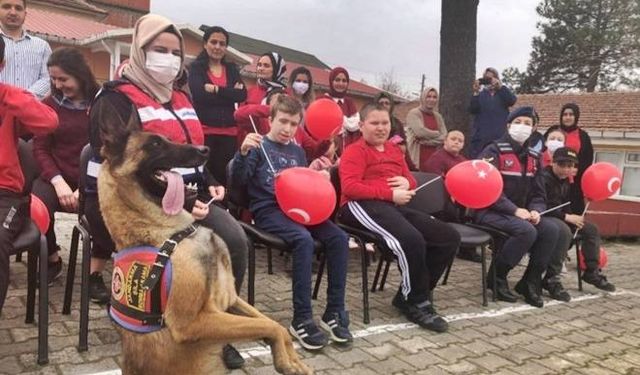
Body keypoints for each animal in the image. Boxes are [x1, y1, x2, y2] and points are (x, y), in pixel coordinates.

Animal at [95, 116, 312, 374]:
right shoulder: (194, 322)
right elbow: (270, 326)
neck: (169, 232)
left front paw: (292, 359)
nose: (205, 149)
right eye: (155, 144)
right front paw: (286, 360)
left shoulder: (229, 297)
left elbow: (269, 321)